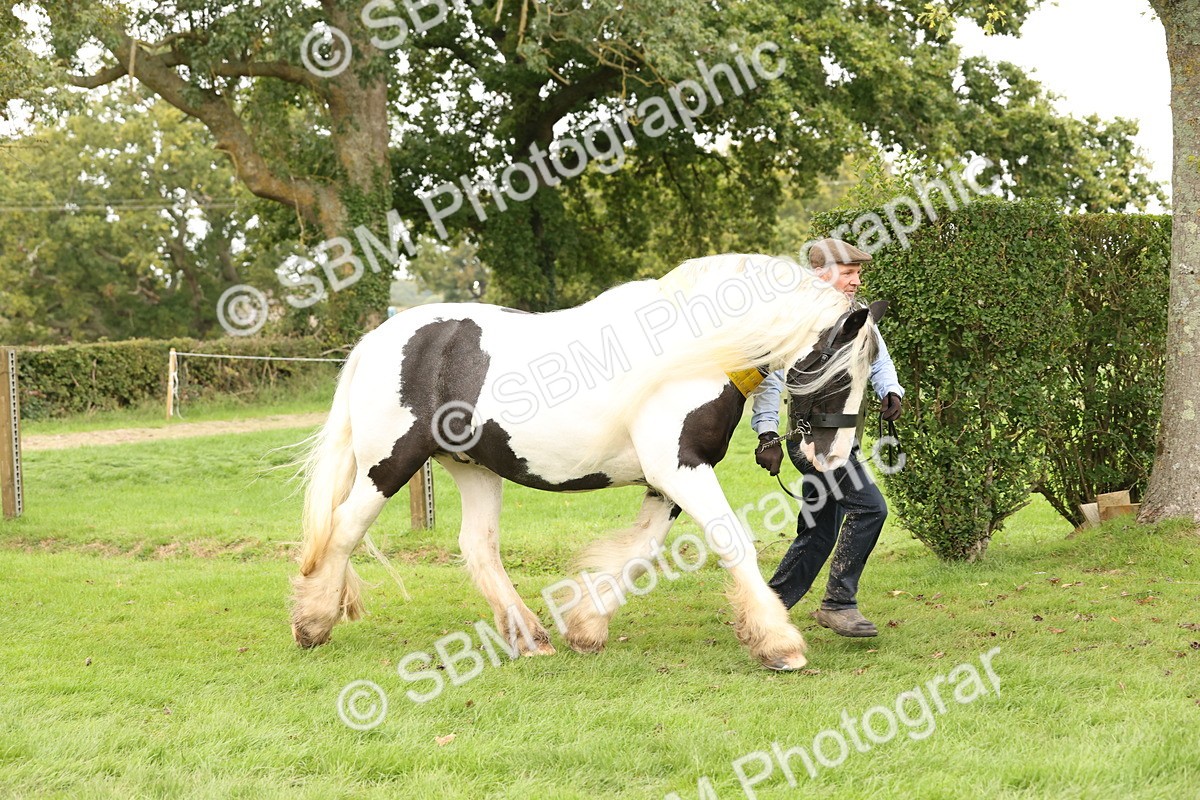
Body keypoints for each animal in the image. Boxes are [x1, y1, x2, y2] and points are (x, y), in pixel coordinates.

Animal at [290, 253, 885, 670]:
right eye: (838, 372)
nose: (832, 456)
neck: (696, 349)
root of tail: (377, 340)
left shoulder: (666, 481)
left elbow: (640, 552)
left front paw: (586, 627)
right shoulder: (681, 469)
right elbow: (729, 539)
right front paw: (779, 643)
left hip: (474, 467)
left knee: (477, 546)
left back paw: (530, 637)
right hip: (389, 464)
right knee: (342, 530)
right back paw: (312, 623)